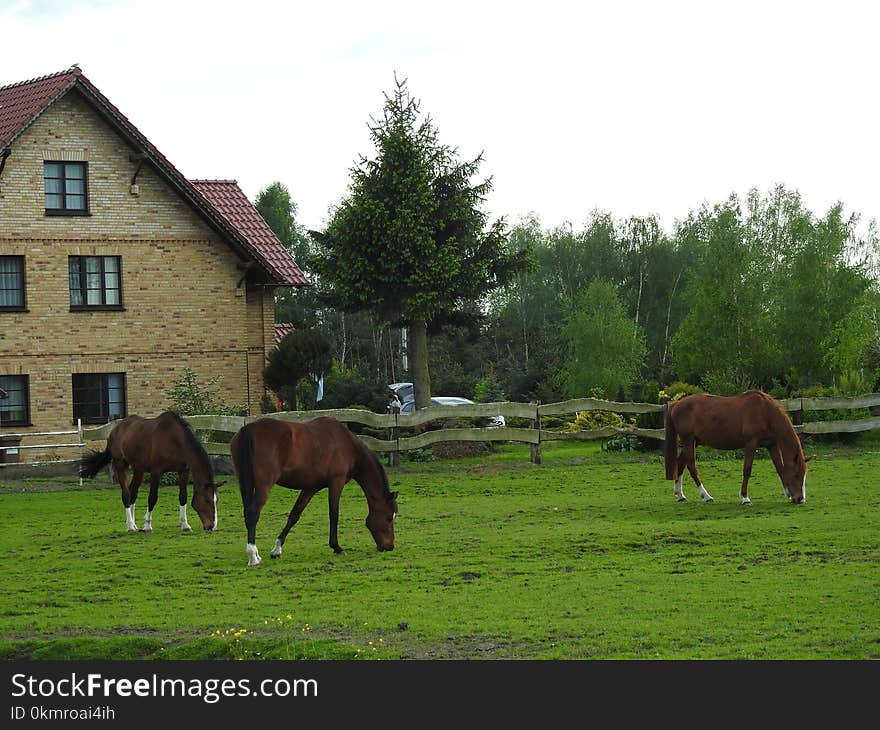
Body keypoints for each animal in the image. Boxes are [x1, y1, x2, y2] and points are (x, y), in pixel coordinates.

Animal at [78, 412, 222, 532]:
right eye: (207, 500)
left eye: (217, 501)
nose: (212, 526)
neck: (174, 440)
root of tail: (115, 430)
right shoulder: (156, 472)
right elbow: (152, 498)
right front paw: (147, 525)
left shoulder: (184, 471)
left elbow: (183, 497)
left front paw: (185, 525)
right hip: (121, 465)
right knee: (126, 495)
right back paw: (130, 526)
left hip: (138, 469)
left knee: (133, 493)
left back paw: (134, 524)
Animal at [232, 416, 400, 564]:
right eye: (388, 518)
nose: (389, 547)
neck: (348, 444)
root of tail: (249, 429)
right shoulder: (336, 482)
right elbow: (334, 515)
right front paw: (337, 547)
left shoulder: (310, 487)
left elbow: (294, 515)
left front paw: (277, 549)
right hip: (264, 485)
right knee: (253, 513)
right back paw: (253, 556)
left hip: (245, 483)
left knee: (248, 513)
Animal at [668, 390, 812, 504]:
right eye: (796, 475)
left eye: (804, 474)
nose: (800, 499)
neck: (764, 412)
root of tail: (675, 405)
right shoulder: (751, 444)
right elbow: (747, 470)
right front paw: (745, 498)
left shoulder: (771, 445)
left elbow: (780, 468)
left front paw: (788, 493)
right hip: (689, 440)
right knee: (692, 467)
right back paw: (706, 496)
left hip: (694, 442)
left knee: (680, 462)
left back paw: (680, 495)